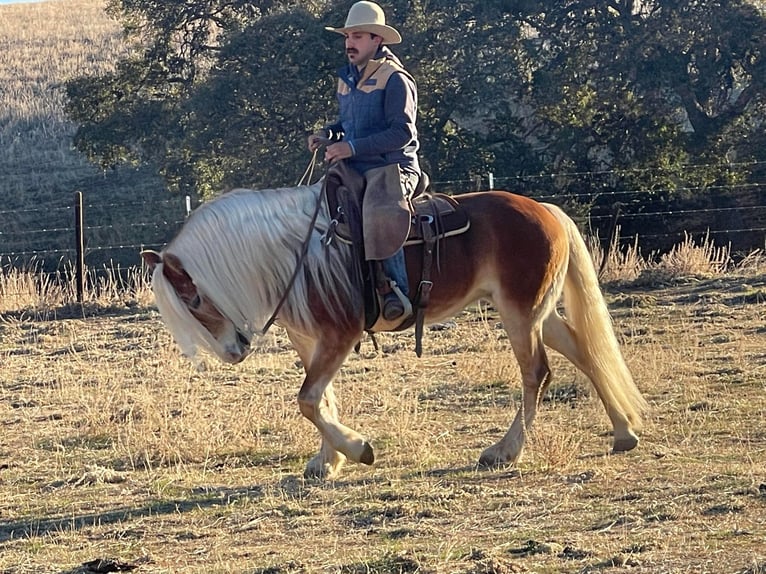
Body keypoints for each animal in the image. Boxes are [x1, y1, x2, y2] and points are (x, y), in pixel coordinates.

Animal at [140, 182, 648, 480]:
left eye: (192, 298)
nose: (233, 351)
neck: (293, 256)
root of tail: (544, 210)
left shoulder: (339, 335)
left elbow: (307, 400)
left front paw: (356, 449)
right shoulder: (311, 340)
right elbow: (321, 398)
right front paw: (328, 461)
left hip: (520, 314)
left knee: (537, 374)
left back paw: (505, 452)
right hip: (537, 312)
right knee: (583, 350)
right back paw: (623, 432)